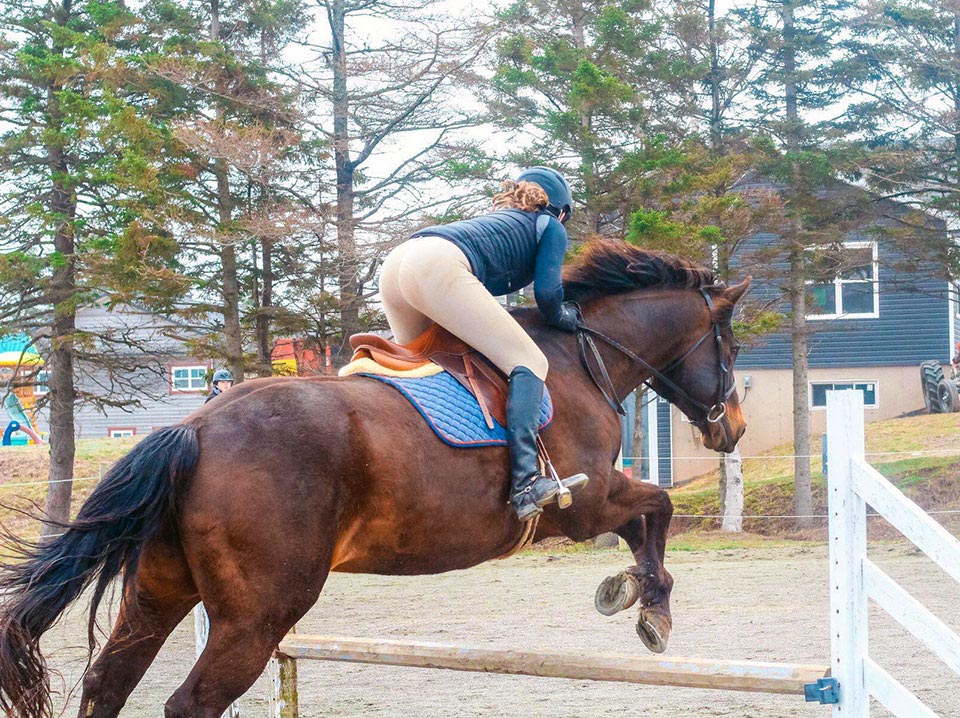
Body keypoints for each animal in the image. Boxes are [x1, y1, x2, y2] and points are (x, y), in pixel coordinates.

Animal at [0, 239, 752, 716]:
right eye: (730, 346)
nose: (734, 429)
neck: (582, 358)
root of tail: (195, 427)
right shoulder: (584, 503)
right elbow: (657, 510)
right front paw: (649, 606)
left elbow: (651, 517)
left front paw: (627, 591)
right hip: (257, 615)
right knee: (190, 703)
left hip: (160, 588)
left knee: (108, 683)